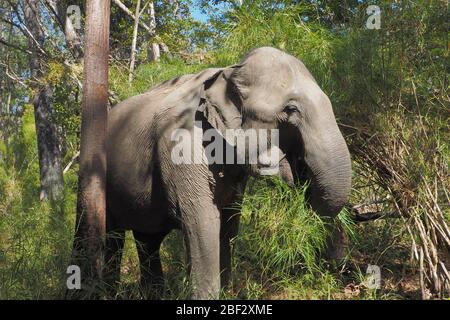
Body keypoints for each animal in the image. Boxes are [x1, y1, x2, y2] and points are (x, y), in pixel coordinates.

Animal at [104, 46, 352, 298]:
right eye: (290, 110)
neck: (229, 70)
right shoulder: (182, 142)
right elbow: (203, 223)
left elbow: (229, 223)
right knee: (110, 236)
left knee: (147, 240)